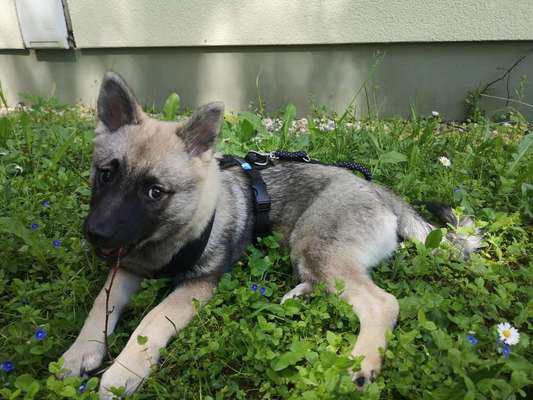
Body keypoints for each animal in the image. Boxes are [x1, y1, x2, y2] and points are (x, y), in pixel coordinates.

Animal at [60, 72, 480, 396]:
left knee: (382, 303)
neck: (166, 240)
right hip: (310, 253)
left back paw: (362, 364)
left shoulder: (197, 286)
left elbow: (151, 320)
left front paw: (124, 370)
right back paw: (299, 296)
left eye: (154, 192)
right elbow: (100, 305)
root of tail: (379, 190)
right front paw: (79, 353)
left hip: (315, 243)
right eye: (106, 174)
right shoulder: (126, 269)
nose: (96, 235)